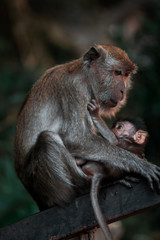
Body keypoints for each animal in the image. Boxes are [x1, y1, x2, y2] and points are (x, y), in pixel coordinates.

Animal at [14, 43, 159, 214]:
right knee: (46, 140)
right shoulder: (73, 88)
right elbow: (75, 138)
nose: (123, 91)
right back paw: (96, 184)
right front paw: (140, 165)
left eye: (126, 75)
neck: (85, 76)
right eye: (117, 72)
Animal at [76, 99, 148, 240]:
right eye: (115, 126)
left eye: (119, 127)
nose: (113, 128)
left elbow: (113, 141)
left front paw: (95, 113)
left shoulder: (123, 141)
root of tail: (98, 172)